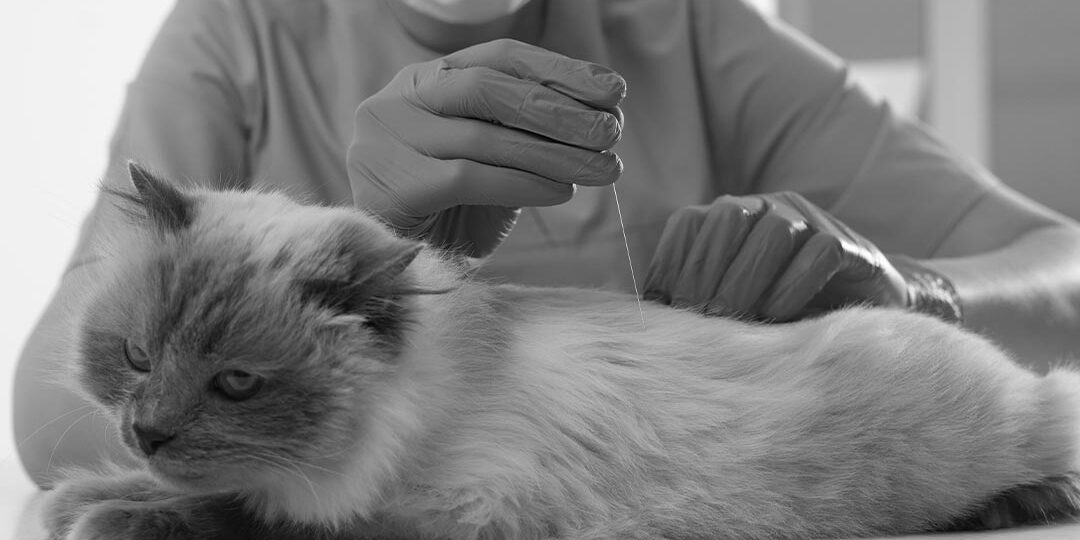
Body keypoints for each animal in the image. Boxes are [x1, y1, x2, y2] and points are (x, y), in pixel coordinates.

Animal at [39, 162, 1080, 537]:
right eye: (136, 357)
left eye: (237, 384)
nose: (146, 434)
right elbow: (224, 492)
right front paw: (91, 493)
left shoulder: (441, 515)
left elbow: (245, 512)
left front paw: (106, 512)